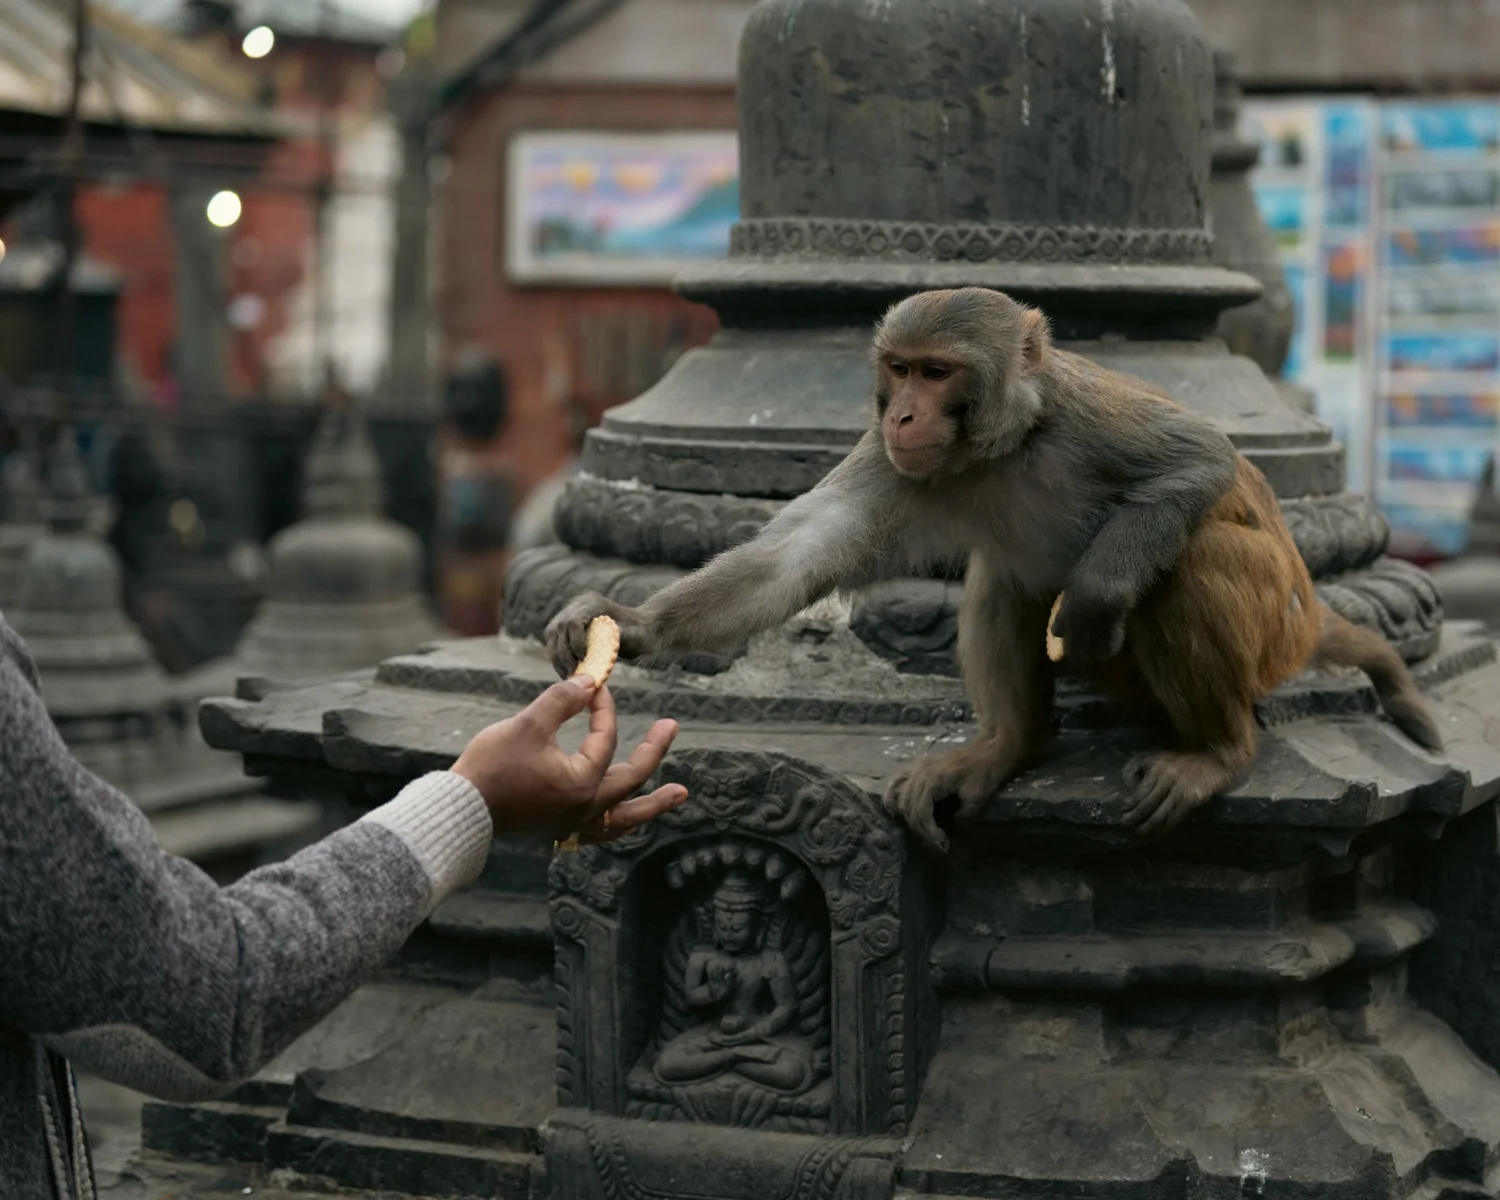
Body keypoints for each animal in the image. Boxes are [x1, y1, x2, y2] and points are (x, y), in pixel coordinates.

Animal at [546, 287, 1443, 849]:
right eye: (899, 368)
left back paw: (1219, 751)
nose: (906, 415)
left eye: (938, 371)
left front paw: (1097, 596)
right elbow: (791, 560)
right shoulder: (889, 460)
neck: (1007, 444)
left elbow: (1199, 462)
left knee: (1190, 559)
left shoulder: (1085, 419)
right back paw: (1011, 745)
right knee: (1003, 580)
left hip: (1271, 627)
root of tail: (1309, 614)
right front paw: (631, 624)